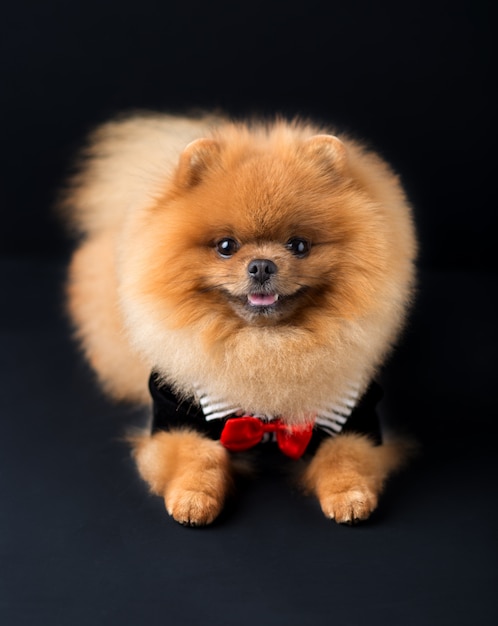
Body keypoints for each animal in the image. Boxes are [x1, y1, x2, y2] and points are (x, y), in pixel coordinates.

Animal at [62, 112, 416, 520]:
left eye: (299, 245)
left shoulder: (355, 413)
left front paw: (350, 496)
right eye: (226, 246)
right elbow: (196, 459)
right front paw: (193, 498)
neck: (264, 344)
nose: (261, 265)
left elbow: (345, 458)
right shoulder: (175, 415)